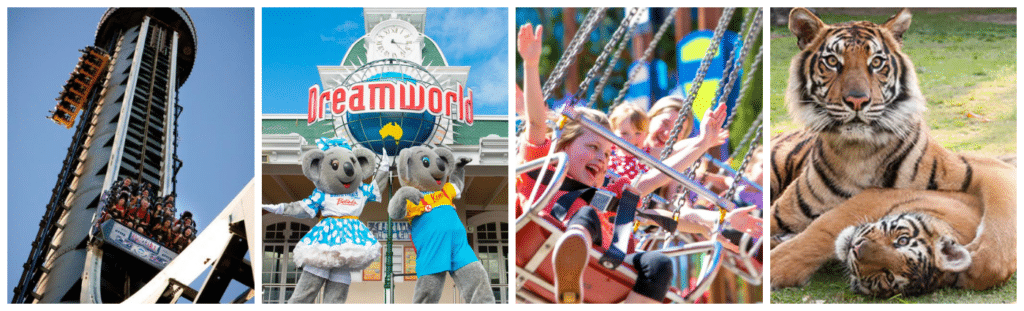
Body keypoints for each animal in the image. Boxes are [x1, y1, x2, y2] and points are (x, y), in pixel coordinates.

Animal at [770, 6, 1015, 294]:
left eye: (876, 63)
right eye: (832, 61)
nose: (857, 100)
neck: (857, 152)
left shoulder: (987, 169)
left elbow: (994, 250)